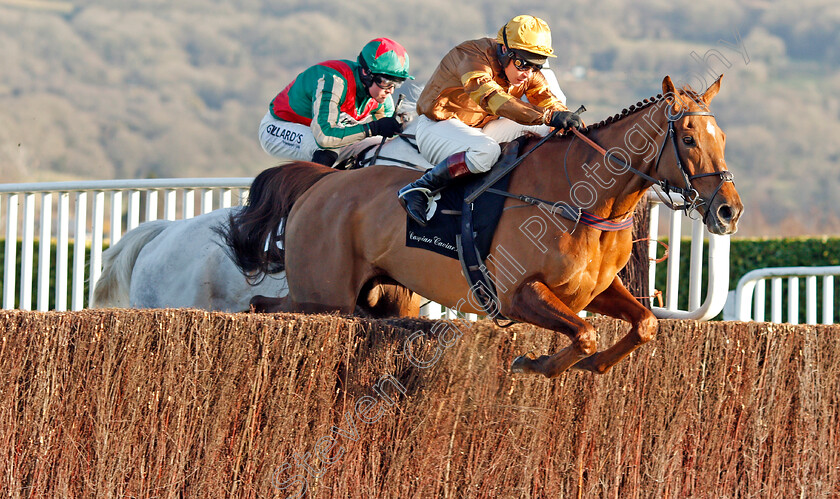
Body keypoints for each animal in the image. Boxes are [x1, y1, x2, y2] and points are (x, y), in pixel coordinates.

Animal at [221, 76, 740, 376]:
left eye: (722, 136)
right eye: (689, 138)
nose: (728, 211)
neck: (581, 198)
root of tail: (323, 182)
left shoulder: (594, 290)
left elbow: (645, 323)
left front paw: (594, 365)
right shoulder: (517, 293)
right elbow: (584, 333)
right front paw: (535, 363)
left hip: (376, 298)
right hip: (324, 296)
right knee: (263, 306)